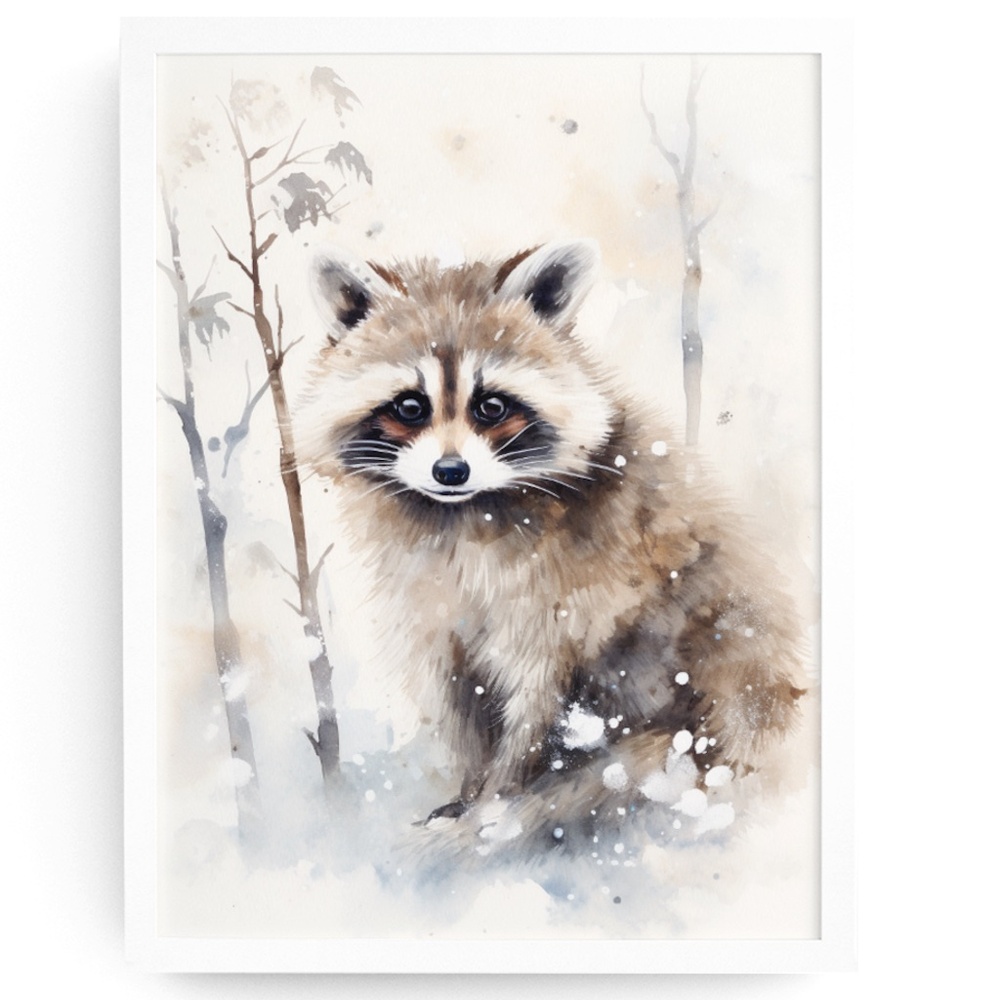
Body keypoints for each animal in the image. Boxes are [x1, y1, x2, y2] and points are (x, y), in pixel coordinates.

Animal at [296, 240, 806, 846]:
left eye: (491, 406)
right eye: (410, 407)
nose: (450, 471)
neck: (462, 511)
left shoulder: (562, 587)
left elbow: (533, 692)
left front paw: (496, 796)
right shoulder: (428, 597)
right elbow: (457, 688)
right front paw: (469, 787)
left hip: (711, 653)